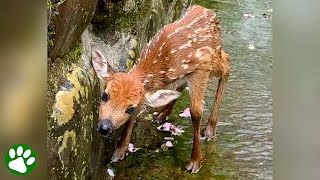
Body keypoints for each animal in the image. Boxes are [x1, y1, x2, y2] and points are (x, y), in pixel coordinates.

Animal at [92, 4, 230, 173]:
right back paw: (161, 115)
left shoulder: (201, 67)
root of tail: (208, 11)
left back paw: (210, 129)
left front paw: (195, 162)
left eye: (129, 108)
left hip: (214, 57)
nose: (104, 127)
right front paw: (120, 151)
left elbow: (196, 111)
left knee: (227, 63)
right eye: (105, 95)